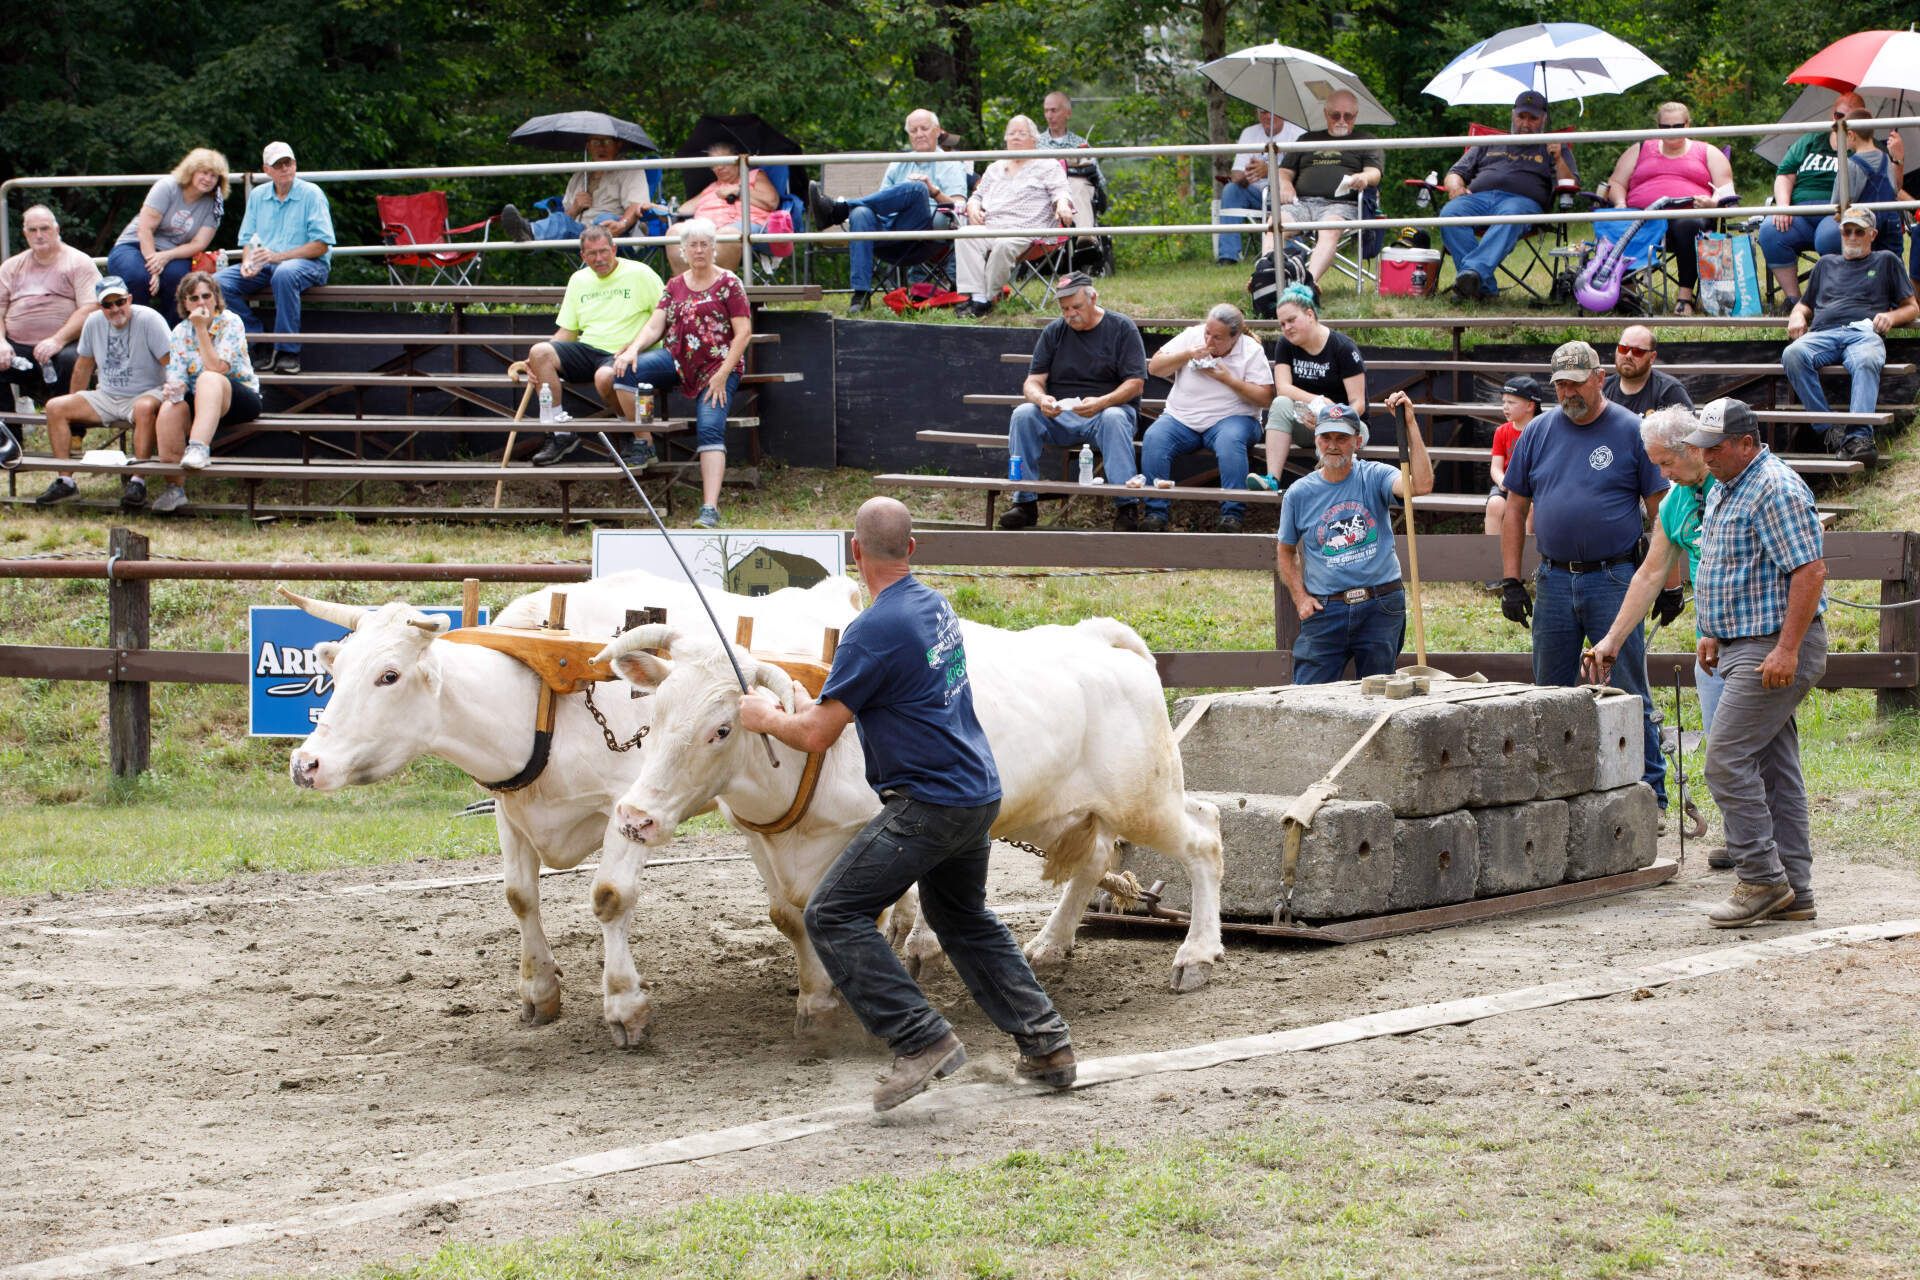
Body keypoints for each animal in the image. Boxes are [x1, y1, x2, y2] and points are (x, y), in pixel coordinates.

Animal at [282, 570, 861, 1046]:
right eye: (337, 670)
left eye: (389, 675)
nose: (305, 763)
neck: (536, 703)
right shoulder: (508, 808)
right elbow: (519, 896)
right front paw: (539, 991)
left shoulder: (627, 807)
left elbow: (610, 896)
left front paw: (625, 1005)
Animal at [591, 614, 1226, 1034]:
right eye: (656, 711)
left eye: (721, 729)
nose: (636, 817)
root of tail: (1099, 637)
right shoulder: (759, 840)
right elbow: (789, 918)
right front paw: (813, 1000)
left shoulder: (860, 838)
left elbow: (840, 915)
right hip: (1061, 810)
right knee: (1096, 857)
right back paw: (1049, 943)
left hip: (1144, 799)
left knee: (1206, 836)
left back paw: (1195, 955)